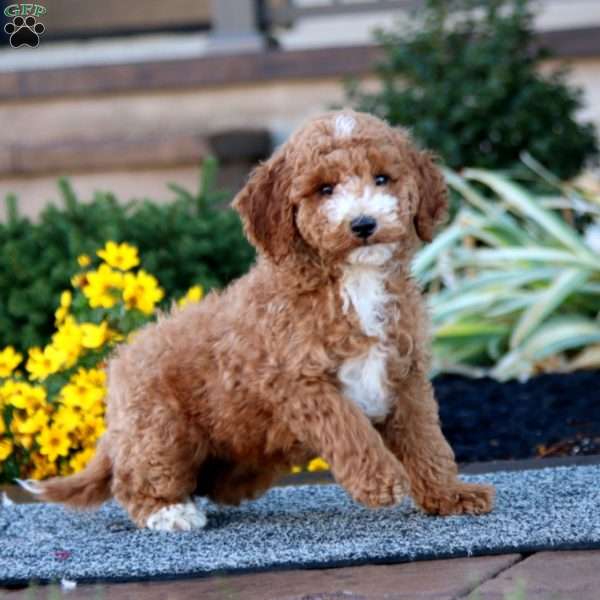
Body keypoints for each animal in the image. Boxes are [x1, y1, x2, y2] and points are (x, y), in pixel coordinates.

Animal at [30, 111, 494, 528]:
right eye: (324, 189)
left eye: (382, 178)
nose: (363, 223)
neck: (354, 280)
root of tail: (120, 366)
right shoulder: (299, 380)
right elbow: (348, 429)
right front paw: (380, 479)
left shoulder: (406, 372)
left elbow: (427, 441)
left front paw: (450, 494)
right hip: (157, 428)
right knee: (136, 480)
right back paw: (170, 512)